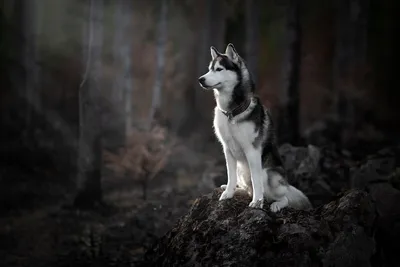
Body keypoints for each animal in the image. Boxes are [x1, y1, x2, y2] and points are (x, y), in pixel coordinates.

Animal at [198, 43, 310, 213]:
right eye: (210, 69)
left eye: (219, 69)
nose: (200, 79)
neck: (232, 113)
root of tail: (286, 184)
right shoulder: (227, 149)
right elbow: (230, 176)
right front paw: (228, 193)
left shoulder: (252, 151)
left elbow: (256, 180)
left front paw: (257, 202)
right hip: (241, 171)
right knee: (246, 188)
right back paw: (234, 189)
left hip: (270, 175)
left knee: (283, 197)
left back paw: (276, 204)